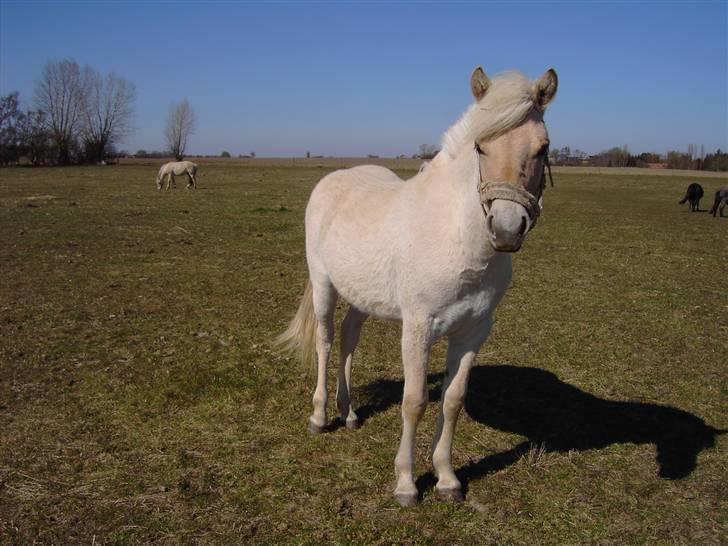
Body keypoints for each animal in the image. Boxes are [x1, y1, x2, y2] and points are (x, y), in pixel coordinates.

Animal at [278, 67, 556, 506]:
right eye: (480, 146)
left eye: (543, 148)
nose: (507, 229)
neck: (455, 235)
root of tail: (334, 179)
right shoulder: (418, 328)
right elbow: (414, 402)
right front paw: (407, 484)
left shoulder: (473, 331)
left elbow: (452, 401)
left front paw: (447, 479)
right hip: (324, 285)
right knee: (325, 341)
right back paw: (320, 416)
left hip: (362, 296)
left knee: (348, 339)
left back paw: (349, 412)